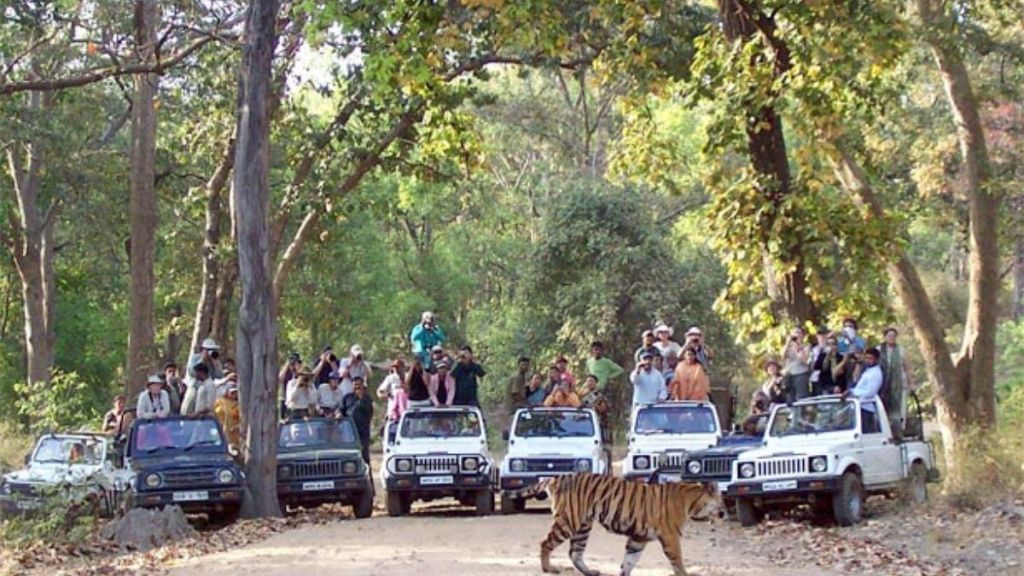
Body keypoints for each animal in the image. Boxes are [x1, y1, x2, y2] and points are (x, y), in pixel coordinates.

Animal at [517, 472, 719, 576]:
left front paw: (624, 573)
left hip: (583, 526)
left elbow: (629, 559)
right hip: (568, 521)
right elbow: (677, 560)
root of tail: (555, 477)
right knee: (546, 543)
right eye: (720, 501)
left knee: (575, 553)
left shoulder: (639, 537)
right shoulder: (671, 536)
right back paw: (548, 569)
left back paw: (590, 572)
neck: (691, 502)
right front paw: (684, 573)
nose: (723, 513)